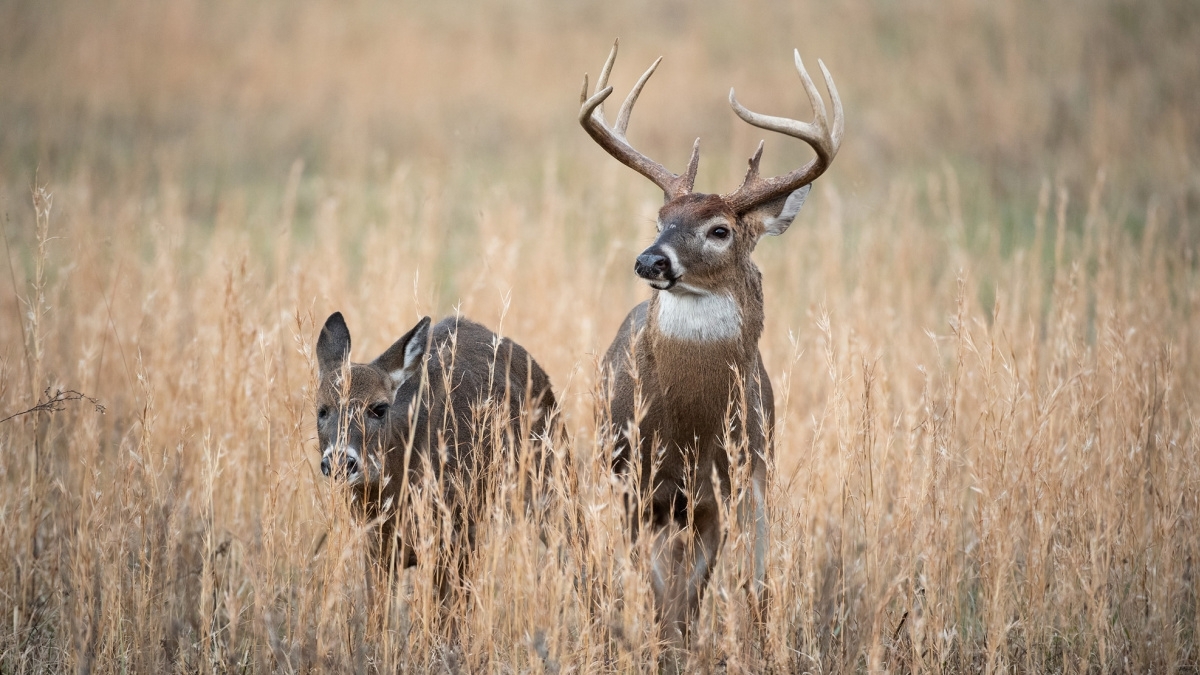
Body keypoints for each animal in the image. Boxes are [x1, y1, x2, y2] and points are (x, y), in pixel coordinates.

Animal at [578, 39, 844, 648]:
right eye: (660, 218)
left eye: (720, 229)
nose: (650, 260)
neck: (690, 432)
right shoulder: (637, 486)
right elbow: (657, 588)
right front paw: (662, 646)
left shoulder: (723, 493)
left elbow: (693, 590)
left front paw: (681, 645)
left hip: (758, 477)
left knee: (754, 577)